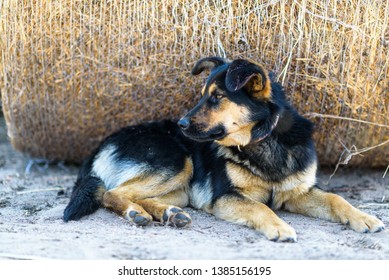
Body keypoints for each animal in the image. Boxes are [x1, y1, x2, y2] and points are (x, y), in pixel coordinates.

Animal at [62, 56, 384, 241]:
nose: (181, 123)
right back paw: (135, 213)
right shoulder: (226, 196)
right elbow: (259, 207)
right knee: (112, 193)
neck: (262, 141)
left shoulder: (299, 193)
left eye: (216, 97)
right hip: (178, 161)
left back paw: (169, 214)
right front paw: (278, 227)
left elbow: (336, 199)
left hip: (180, 185)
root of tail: (101, 145)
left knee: (138, 196)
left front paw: (364, 218)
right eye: (204, 95)